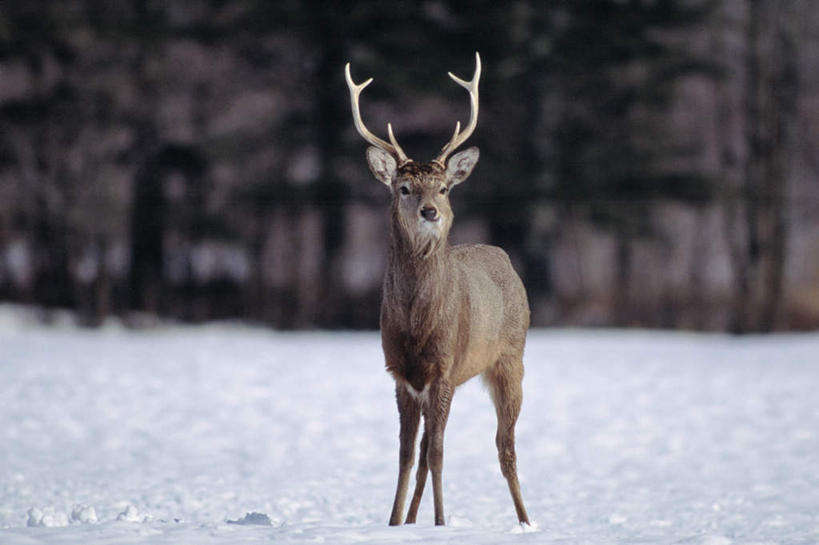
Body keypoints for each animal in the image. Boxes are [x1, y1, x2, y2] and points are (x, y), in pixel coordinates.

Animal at [344, 53, 532, 524]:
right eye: (404, 187)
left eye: (444, 187)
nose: (431, 211)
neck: (417, 324)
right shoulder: (401, 373)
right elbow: (408, 454)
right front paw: (395, 522)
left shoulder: (445, 367)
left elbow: (439, 454)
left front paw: (442, 522)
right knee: (430, 449)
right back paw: (413, 517)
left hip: (510, 358)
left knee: (505, 446)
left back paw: (526, 520)